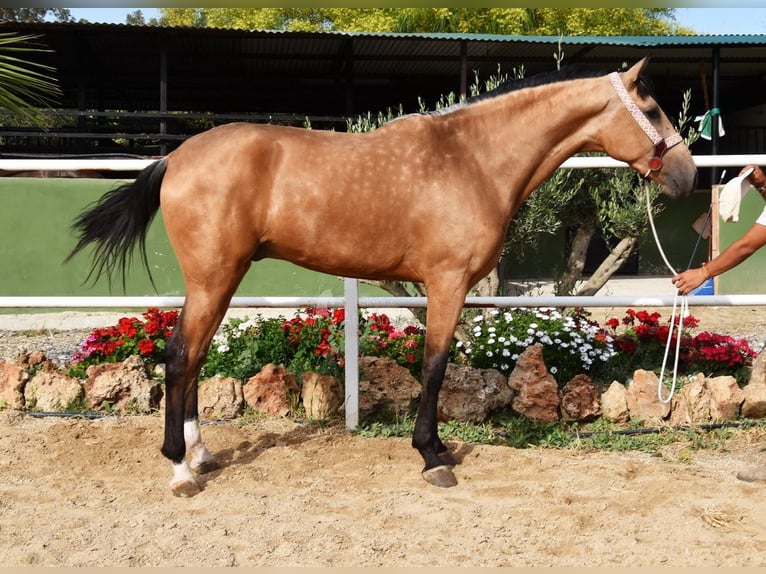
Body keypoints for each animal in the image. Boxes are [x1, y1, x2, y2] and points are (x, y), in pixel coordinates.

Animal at [69, 59, 700, 500]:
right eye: (653, 110)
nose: (688, 175)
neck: (472, 159)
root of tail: (176, 158)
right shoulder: (447, 283)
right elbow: (436, 365)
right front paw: (433, 456)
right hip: (212, 278)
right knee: (180, 356)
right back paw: (181, 469)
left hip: (222, 280)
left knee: (194, 357)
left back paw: (201, 456)